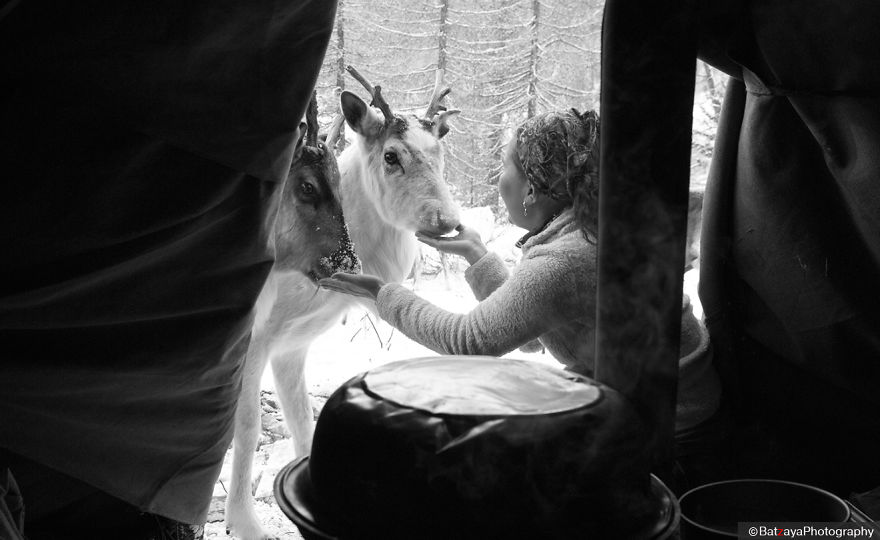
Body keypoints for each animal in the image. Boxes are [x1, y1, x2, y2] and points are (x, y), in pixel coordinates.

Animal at [225, 68, 461, 540]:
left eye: (439, 152)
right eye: (391, 156)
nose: (446, 220)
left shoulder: (293, 345)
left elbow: (302, 420)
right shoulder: (257, 339)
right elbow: (248, 425)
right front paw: (242, 521)